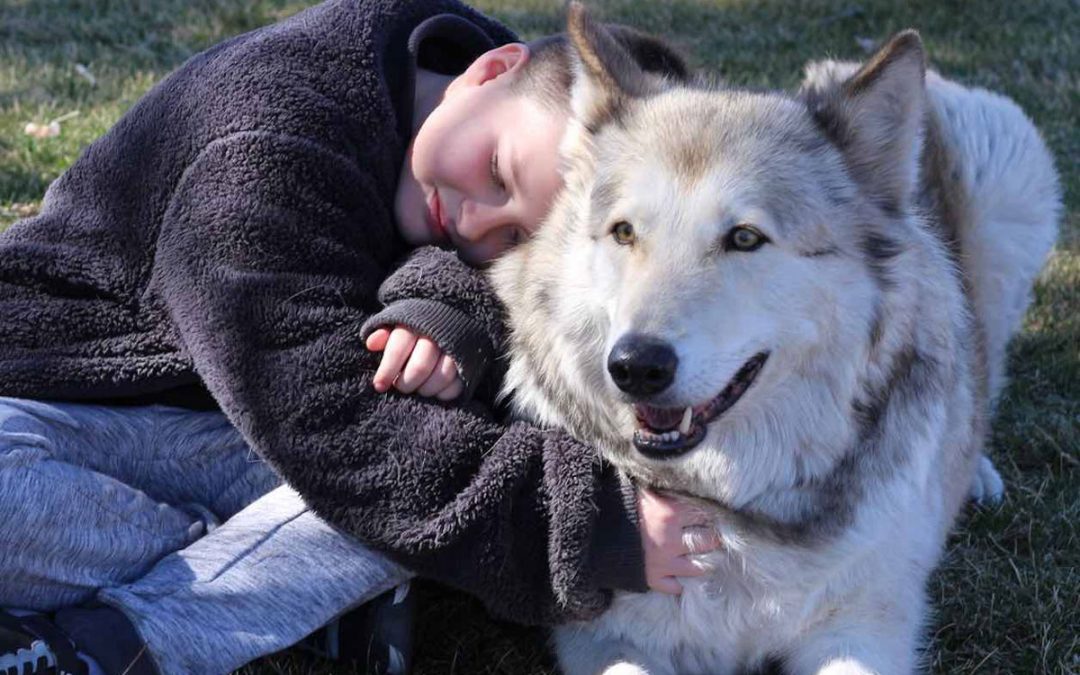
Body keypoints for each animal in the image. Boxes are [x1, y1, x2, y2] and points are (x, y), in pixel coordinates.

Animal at [492, 6, 1062, 673]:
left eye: (744, 238)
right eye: (625, 232)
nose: (635, 366)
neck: (736, 505)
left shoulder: (865, 626)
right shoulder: (598, 637)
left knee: (983, 366)